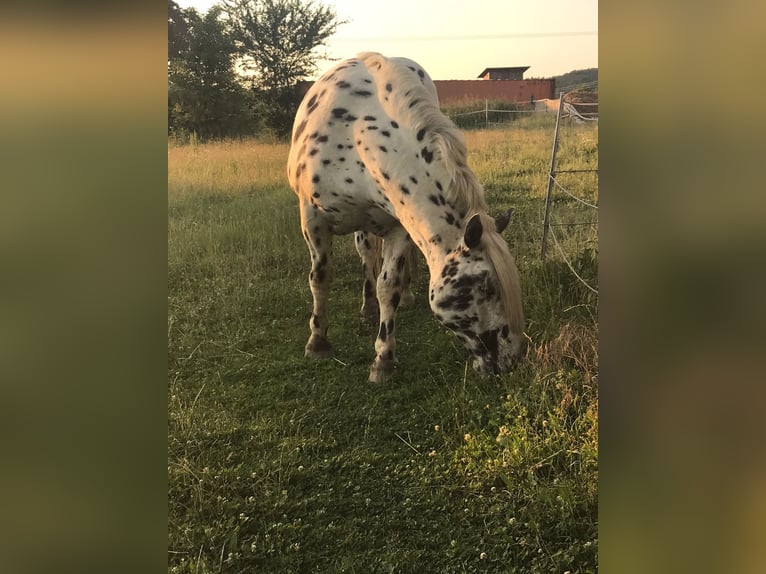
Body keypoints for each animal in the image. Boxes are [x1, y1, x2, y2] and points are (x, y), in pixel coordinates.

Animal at [287, 52, 525, 382]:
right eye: (485, 286)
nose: (513, 358)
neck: (356, 133)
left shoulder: (399, 226)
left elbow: (389, 286)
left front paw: (383, 360)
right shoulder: (313, 220)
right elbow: (321, 278)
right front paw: (317, 343)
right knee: (365, 255)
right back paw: (366, 308)